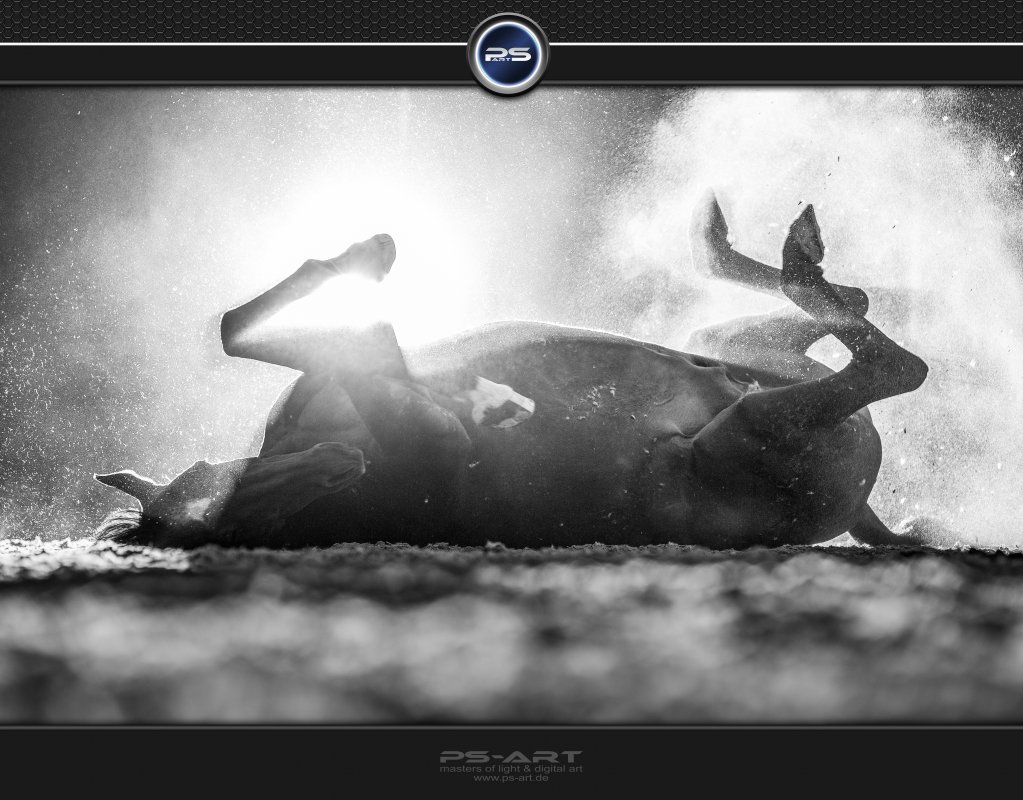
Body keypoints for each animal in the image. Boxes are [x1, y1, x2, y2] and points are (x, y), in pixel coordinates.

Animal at [95, 191, 929, 550]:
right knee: (893, 363)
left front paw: (360, 261)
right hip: (752, 431)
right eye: (247, 523)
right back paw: (781, 257)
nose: (338, 466)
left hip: (737, 354)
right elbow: (257, 334)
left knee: (849, 313)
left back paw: (735, 247)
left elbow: (241, 332)